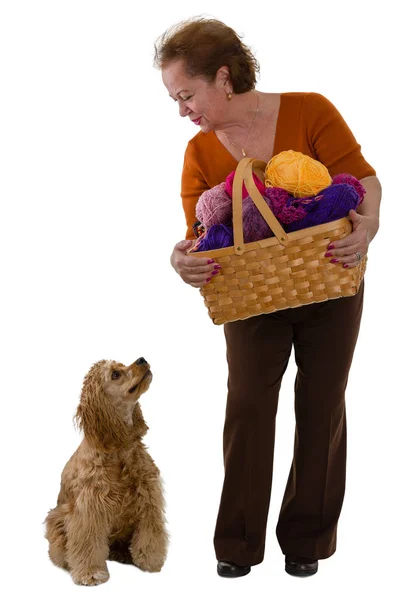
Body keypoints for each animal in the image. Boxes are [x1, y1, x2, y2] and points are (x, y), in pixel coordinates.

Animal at [44, 356, 169, 584]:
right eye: (115, 374)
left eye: (122, 365)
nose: (142, 359)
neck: (120, 447)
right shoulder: (89, 508)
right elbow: (87, 543)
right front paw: (91, 572)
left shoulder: (149, 498)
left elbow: (150, 533)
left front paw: (150, 560)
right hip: (56, 519)